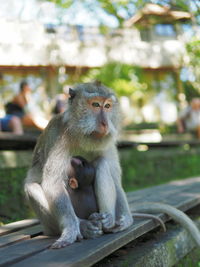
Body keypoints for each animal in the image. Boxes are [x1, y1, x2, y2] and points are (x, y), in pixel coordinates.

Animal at [24, 81, 133, 249]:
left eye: (107, 106)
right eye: (95, 104)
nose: (105, 123)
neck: (81, 135)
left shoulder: (107, 143)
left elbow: (115, 179)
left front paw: (125, 219)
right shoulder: (59, 138)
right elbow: (53, 182)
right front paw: (71, 229)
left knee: (102, 164)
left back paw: (106, 220)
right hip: (49, 227)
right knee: (32, 188)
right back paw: (84, 226)